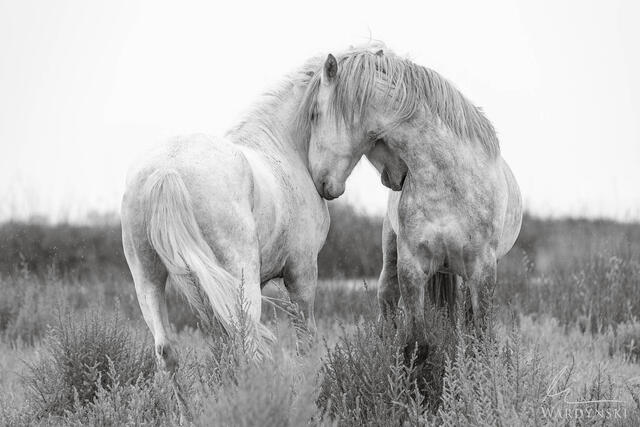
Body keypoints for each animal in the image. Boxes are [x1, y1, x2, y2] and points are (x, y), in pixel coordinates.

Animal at [120, 58, 330, 370]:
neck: (282, 148)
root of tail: (168, 169)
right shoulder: (301, 270)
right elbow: (307, 342)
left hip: (147, 277)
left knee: (166, 349)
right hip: (240, 277)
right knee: (247, 345)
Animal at [298, 45, 523, 351]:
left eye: (315, 114)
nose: (318, 180)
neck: (448, 180)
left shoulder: (483, 271)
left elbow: (480, 339)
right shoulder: (411, 267)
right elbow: (417, 341)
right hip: (393, 261)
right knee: (388, 304)